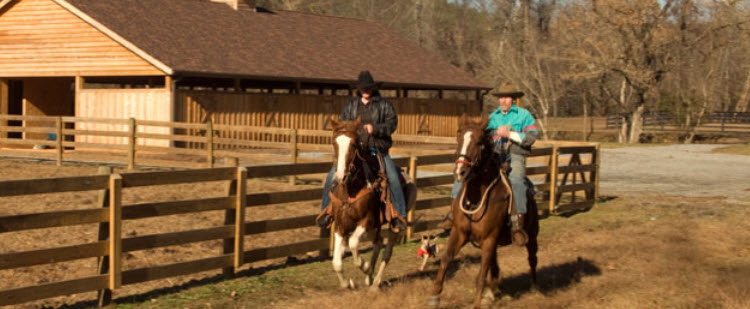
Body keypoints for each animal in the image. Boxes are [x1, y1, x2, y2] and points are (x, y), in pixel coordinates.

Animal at [328, 116, 418, 290]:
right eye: (334, 142)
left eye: (353, 144)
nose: (341, 175)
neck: (351, 191)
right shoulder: (341, 225)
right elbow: (336, 262)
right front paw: (348, 283)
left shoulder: (366, 221)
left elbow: (353, 243)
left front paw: (364, 266)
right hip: (376, 225)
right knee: (377, 243)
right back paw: (369, 278)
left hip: (393, 225)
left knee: (387, 251)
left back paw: (375, 282)